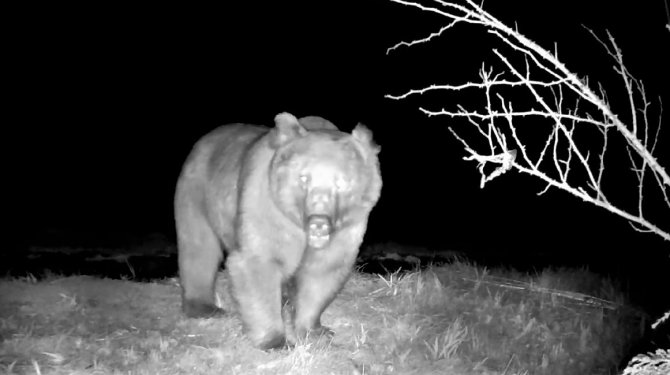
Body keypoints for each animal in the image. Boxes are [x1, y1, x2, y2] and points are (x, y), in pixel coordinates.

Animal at [173, 111, 384, 350]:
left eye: (342, 182)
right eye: (303, 178)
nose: (318, 221)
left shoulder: (348, 227)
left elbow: (323, 270)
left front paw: (315, 330)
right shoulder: (269, 205)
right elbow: (260, 261)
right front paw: (277, 341)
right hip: (197, 192)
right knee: (199, 248)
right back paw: (205, 308)